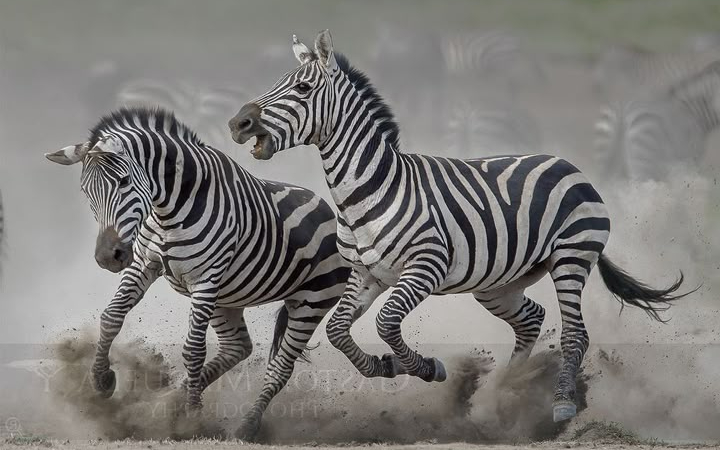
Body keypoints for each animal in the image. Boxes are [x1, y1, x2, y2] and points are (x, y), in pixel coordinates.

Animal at [44, 107, 350, 440]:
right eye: (86, 191)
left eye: (124, 182)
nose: (107, 257)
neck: (168, 209)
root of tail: (326, 206)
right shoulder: (144, 263)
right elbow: (111, 316)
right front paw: (101, 380)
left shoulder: (205, 278)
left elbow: (193, 349)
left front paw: (193, 419)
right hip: (226, 298)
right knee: (237, 347)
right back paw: (166, 403)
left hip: (311, 301)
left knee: (280, 367)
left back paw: (245, 425)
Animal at [228, 30, 692, 423]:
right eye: (278, 82)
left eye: (302, 89)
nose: (237, 124)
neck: (372, 189)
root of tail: (566, 163)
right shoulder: (366, 275)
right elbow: (339, 330)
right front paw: (385, 367)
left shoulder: (425, 268)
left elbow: (386, 323)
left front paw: (427, 367)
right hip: (498, 283)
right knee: (531, 319)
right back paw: (504, 392)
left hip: (571, 258)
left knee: (576, 333)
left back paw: (560, 403)